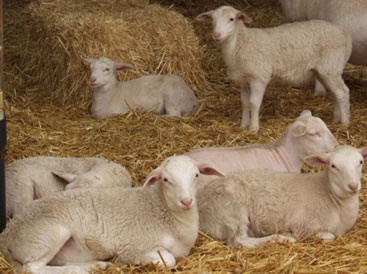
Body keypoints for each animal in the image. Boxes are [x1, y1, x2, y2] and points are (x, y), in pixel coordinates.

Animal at [0, 155, 223, 272]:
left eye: (196, 175)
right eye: (166, 180)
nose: (186, 201)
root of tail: (7, 234)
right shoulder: (134, 246)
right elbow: (167, 260)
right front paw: (123, 261)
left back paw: (97, 265)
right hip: (47, 234)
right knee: (33, 268)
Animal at [196, 5, 354, 132]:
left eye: (231, 19)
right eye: (212, 19)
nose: (217, 35)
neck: (240, 44)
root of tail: (345, 34)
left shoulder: (259, 77)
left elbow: (254, 103)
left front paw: (253, 128)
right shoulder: (244, 81)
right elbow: (245, 103)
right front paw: (243, 125)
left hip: (330, 67)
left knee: (342, 92)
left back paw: (345, 123)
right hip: (325, 71)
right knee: (335, 93)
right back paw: (336, 120)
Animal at [198, 146, 367, 248]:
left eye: (360, 162)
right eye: (333, 166)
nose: (353, 186)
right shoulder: (304, 226)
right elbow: (328, 236)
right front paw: (290, 235)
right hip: (232, 209)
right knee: (239, 241)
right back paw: (282, 238)